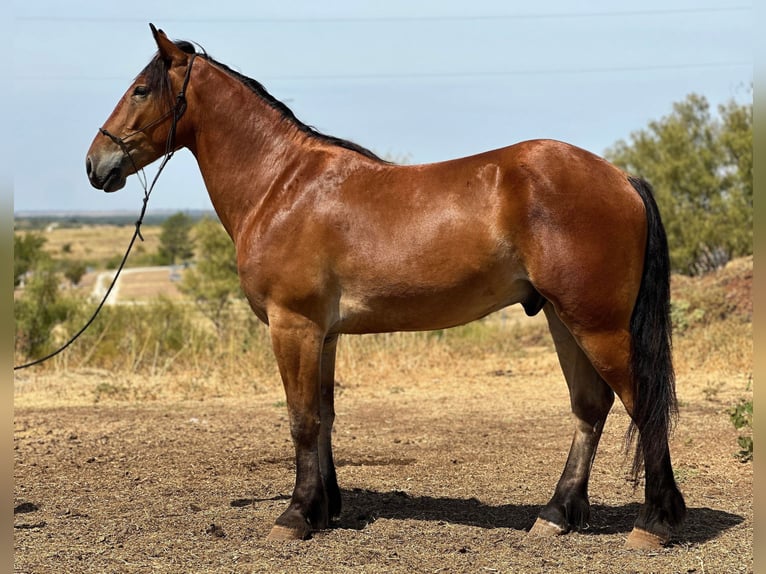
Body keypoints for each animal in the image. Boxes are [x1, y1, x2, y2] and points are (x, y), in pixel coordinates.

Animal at [87, 24, 688, 552]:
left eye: (140, 89)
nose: (95, 164)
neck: (283, 185)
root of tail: (621, 178)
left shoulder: (293, 325)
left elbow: (301, 419)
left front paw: (294, 517)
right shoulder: (324, 334)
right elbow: (325, 417)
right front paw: (324, 509)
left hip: (598, 325)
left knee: (642, 407)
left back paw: (654, 525)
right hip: (565, 320)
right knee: (590, 408)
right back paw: (556, 515)